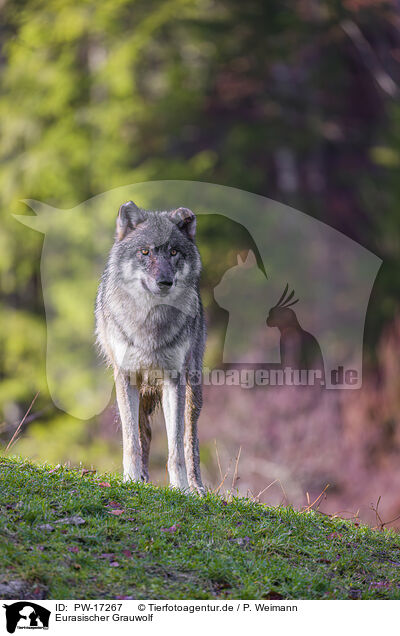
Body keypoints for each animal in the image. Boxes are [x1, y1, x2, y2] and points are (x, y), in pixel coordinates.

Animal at [95, 201, 205, 494]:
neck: (150, 323)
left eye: (174, 252)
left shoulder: (174, 380)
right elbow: (131, 441)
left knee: (190, 440)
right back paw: (142, 478)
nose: (165, 282)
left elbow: (176, 447)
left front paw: (181, 489)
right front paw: (131, 479)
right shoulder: (126, 377)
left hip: (194, 390)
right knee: (143, 432)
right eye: (145, 252)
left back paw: (197, 488)